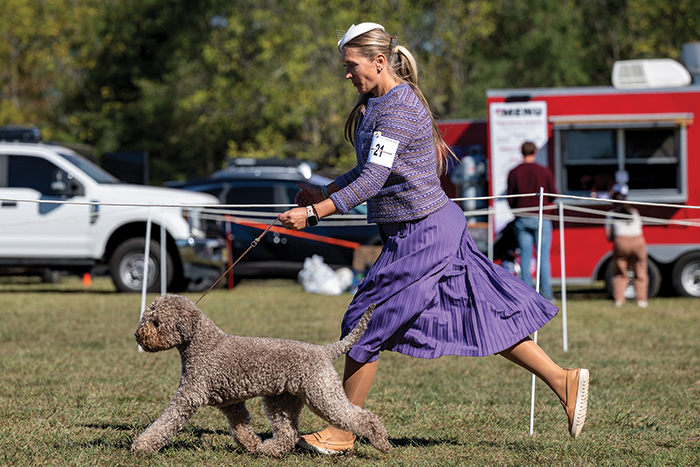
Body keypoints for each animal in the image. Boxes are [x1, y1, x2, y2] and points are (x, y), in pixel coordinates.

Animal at [131, 294, 390, 457]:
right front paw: (253, 444)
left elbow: (165, 423)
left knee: (363, 418)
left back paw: (382, 443)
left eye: (156, 322)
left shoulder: (188, 396)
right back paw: (269, 450)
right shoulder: (231, 403)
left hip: (323, 395)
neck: (203, 344)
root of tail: (323, 351)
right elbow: (241, 429)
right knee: (288, 433)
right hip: (281, 401)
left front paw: (141, 445)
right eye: (146, 318)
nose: (138, 335)